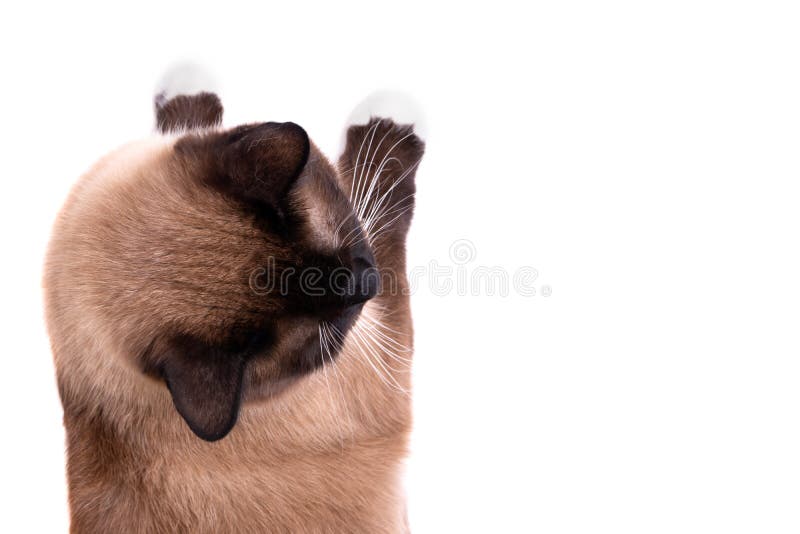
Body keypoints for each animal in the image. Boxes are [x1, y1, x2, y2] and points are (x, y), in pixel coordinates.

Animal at [43, 72, 424, 534]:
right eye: (330, 328)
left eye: (344, 252)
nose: (366, 284)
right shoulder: (381, 358)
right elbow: (382, 204)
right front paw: (391, 123)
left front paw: (185, 92)